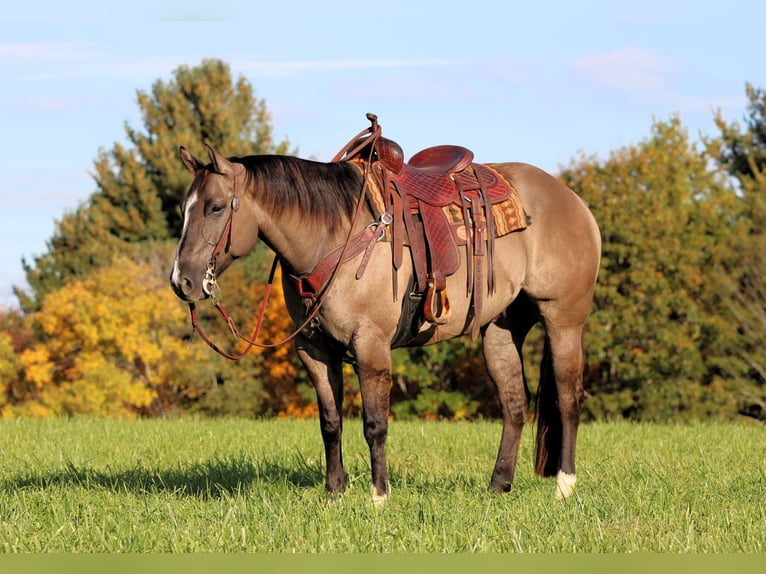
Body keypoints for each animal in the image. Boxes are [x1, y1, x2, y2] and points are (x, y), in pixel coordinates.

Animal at [170, 121, 601, 505]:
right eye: (183, 209)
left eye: (216, 207)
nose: (182, 281)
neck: (333, 234)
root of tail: (574, 201)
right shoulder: (314, 350)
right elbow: (330, 423)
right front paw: (334, 494)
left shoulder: (370, 344)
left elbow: (375, 424)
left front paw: (379, 496)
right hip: (501, 329)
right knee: (514, 404)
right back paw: (498, 487)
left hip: (563, 321)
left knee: (568, 398)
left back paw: (564, 486)